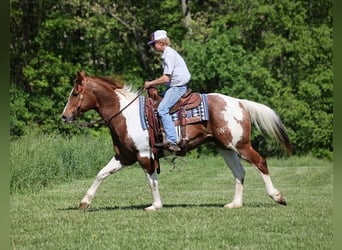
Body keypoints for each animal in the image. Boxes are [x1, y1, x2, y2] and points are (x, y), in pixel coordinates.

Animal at [60, 70, 292, 211]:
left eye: (75, 93)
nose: (64, 116)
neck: (126, 114)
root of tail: (240, 102)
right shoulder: (123, 156)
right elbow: (101, 174)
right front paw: (84, 202)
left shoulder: (145, 155)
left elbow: (151, 180)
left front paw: (155, 205)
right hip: (226, 147)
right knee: (239, 172)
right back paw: (234, 204)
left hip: (240, 145)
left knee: (260, 162)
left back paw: (277, 197)